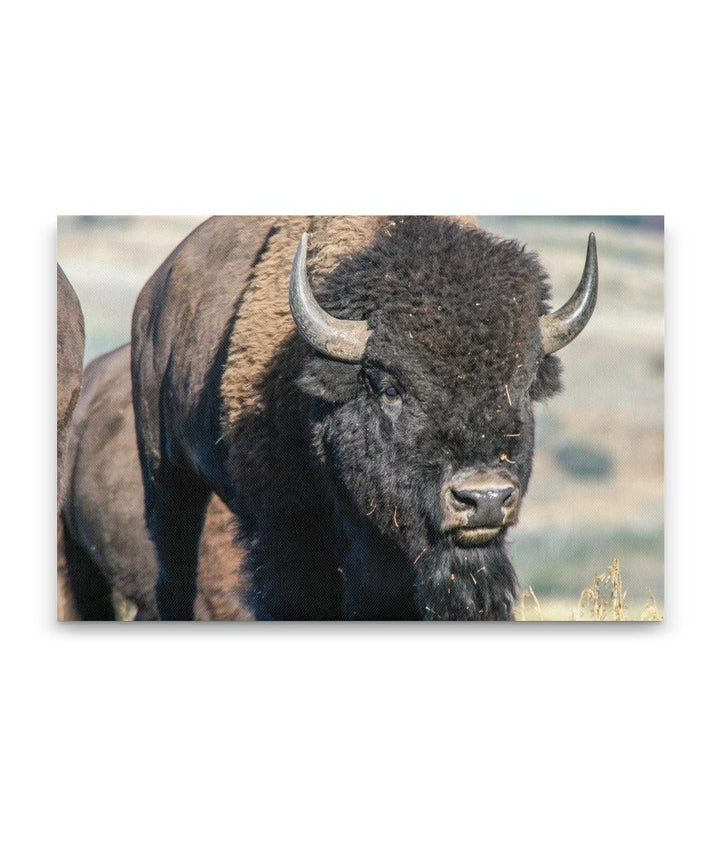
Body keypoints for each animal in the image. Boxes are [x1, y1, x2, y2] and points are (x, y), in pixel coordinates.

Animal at [131, 217, 596, 620]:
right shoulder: (286, 529)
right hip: (167, 477)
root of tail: (152, 298)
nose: (484, 498)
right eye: (390, 388)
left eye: (522, 386)